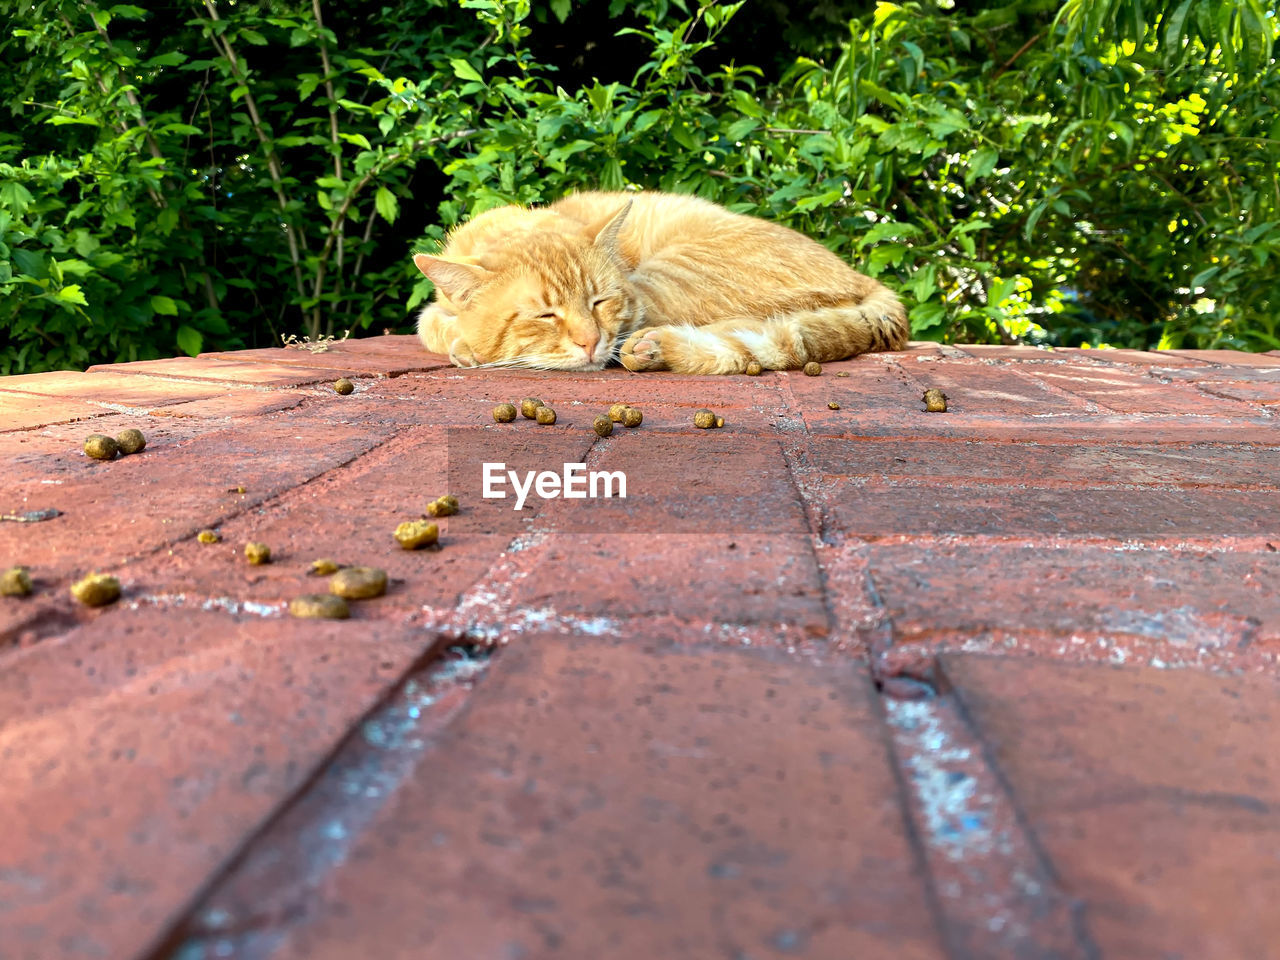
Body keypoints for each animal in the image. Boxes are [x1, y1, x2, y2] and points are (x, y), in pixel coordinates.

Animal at [414, 190, 906, 376]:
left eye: (600, 301)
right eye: (545, 315)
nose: (590, 342)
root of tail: (863, 276)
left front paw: (467, 348)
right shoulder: (435, 305)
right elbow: (428, 321)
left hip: (672, 274)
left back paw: (656, 347)